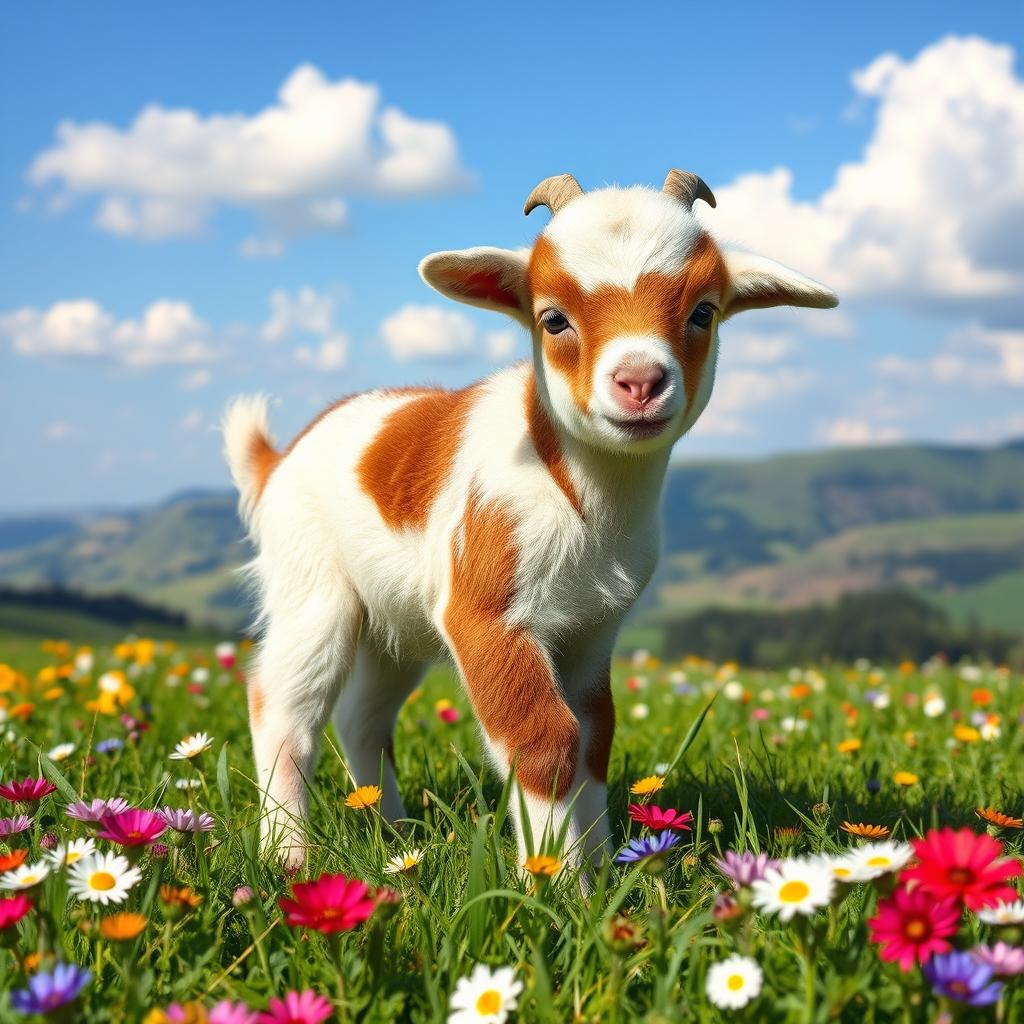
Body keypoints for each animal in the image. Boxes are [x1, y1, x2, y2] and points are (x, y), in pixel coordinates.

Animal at [223, 170, 838, 869]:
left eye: (703, 312)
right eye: (553, 319)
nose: (640, 381)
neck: (579, 494)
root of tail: (278, 459)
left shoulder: (593, 629)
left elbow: (594, 738)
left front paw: (603, 866)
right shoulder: (484, 610)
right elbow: (543, 740)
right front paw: (553, 877)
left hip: (394, 622)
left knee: (362, 717)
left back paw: (396, 837)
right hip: (310, 585)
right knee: (284, 706)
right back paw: (288, 854)